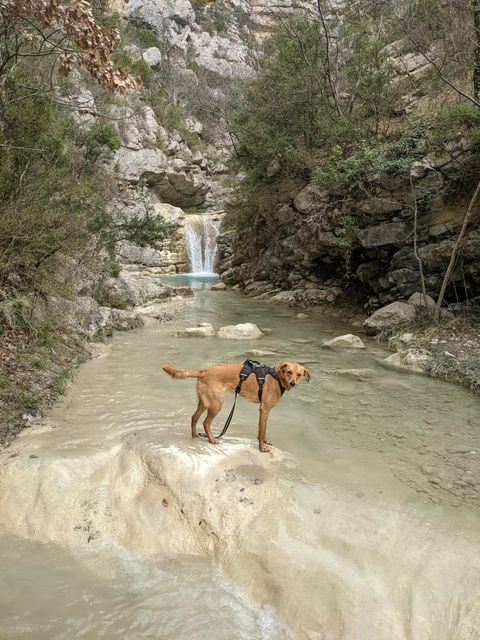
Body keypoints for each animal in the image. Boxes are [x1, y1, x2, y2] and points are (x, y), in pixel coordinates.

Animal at [161, 362, 312, 452]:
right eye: (289, 372)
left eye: (299, 374)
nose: (293, 383)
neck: (277, 377)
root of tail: (204, 370)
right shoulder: (264, 409)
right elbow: (262, 430)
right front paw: (262, 448)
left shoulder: (264, 411)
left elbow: (262, 430)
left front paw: (264, 441)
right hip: (216, 404)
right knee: (205, 422)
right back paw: (212, 439)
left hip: (204, 402)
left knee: (194, 418)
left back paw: (194, 435)